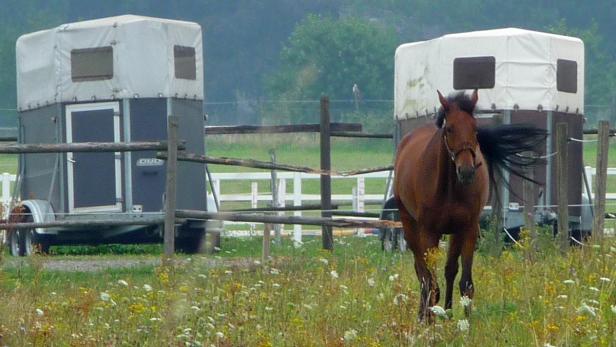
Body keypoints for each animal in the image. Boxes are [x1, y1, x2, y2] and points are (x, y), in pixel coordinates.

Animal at [394, 90, 544, 320]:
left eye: (475, 128)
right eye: (449, 128)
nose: (466, 171)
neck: (449, 188)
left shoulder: (468, 229)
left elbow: (465, 283)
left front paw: (465, 323)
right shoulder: (429, 232)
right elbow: (431, 283)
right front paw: (430, 321)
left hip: (453, 232)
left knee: (448, 270)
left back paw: (446, 313)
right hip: (410, 226)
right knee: (422, 273)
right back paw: (423, 315)